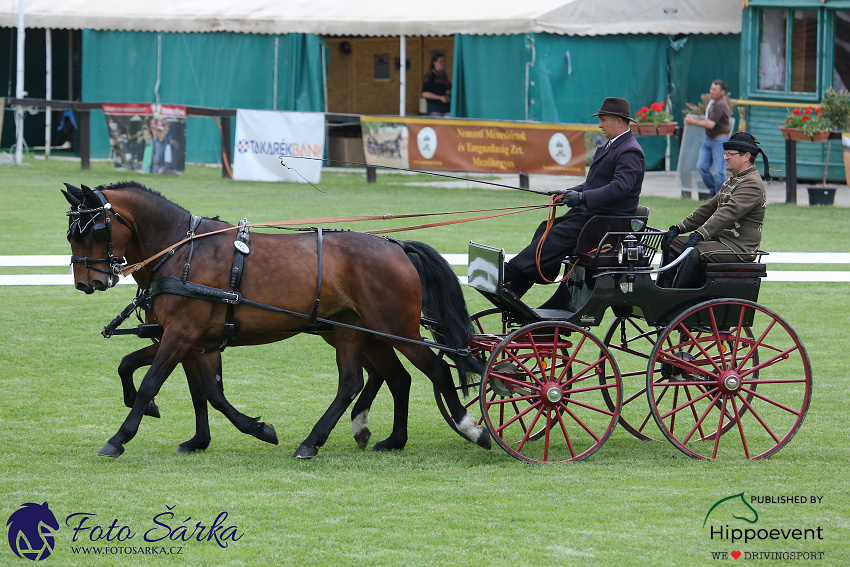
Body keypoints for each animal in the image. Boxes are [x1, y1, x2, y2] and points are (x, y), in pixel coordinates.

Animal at [63, 184, 486, 460]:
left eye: (95, 230)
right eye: (71, 233)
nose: (87, 282)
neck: (181, 252)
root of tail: (396, 246)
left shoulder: (181, 334)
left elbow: (154, 381)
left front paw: (119, 437)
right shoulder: (191, 340)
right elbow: (199, 390)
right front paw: (210, 437)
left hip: (395, 329)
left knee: (434, 371)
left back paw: (471, 428)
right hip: (354, 331)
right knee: (374, 380)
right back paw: (362, 439)